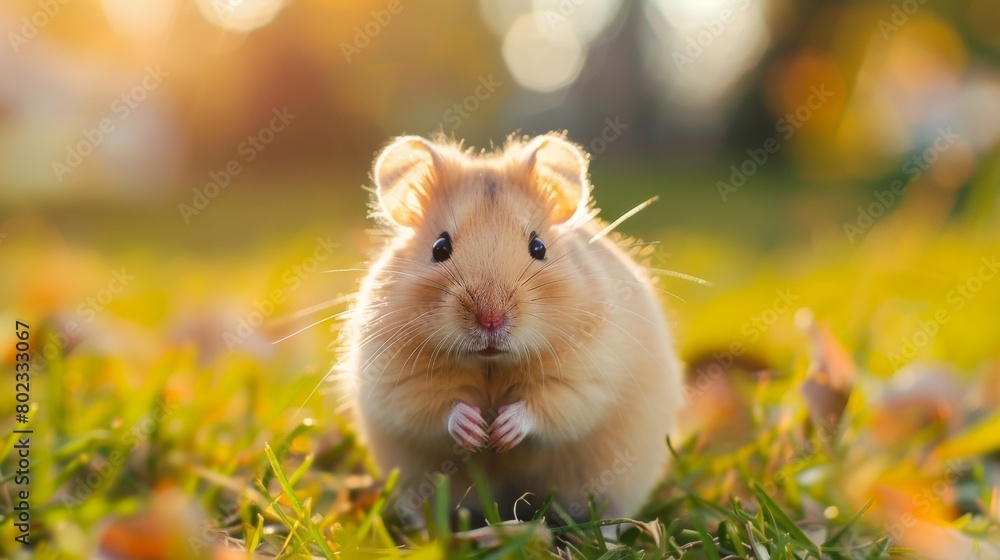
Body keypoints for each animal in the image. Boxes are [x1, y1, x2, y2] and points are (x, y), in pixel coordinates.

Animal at [342, 132, 683, 523]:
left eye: (539, 246)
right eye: (439, 247)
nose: (491, 319)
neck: (491, 363)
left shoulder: (588, 376)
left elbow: (548, 406)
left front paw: (500, 432)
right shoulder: (394, 382)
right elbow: (434, 408)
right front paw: (476, 432)